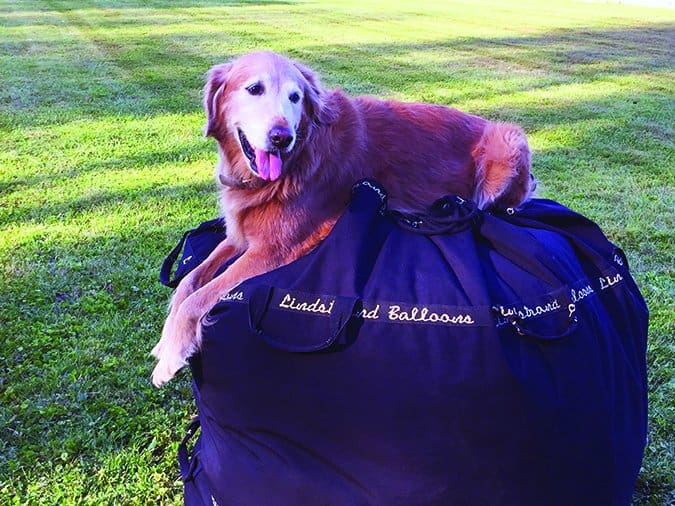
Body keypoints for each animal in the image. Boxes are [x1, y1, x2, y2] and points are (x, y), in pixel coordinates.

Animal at [151, 51, 536, 386]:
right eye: (254, 89)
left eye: (295, 97)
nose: (281, 138)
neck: (299, 155)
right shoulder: (238, 236)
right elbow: (188, 283)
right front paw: (165, 341)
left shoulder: (273, 248)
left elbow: (199, 298)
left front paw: (171, 354)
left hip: (507, 141)